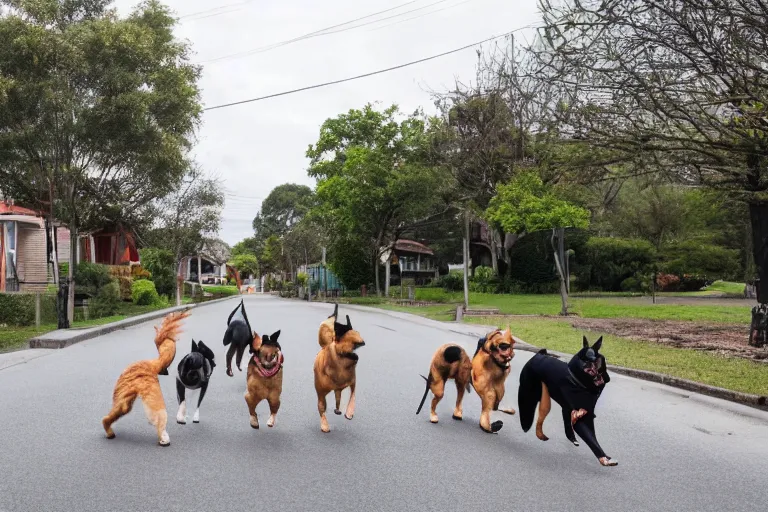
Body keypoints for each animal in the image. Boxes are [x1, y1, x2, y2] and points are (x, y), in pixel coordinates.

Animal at [312, 306, 366, 434]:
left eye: (358, 333)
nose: (362, 342)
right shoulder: (321, 393)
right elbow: (321, 407)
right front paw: (324, 425)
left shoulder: (353, 383)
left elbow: (352, 397)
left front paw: (349, 413)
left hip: (338, 390)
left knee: (338, 397)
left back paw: (338, 410)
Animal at [516, 336, 616, 468]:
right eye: (591, 366)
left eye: (601, 361)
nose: (607, 378)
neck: (577, 381)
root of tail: (538, 355)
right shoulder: (580, 418)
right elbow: (591, 439)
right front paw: (603, 458)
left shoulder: (585, 415)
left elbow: (592, 436)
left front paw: (605, 457)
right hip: (528, 392)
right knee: (526, 408)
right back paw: (527, 425)